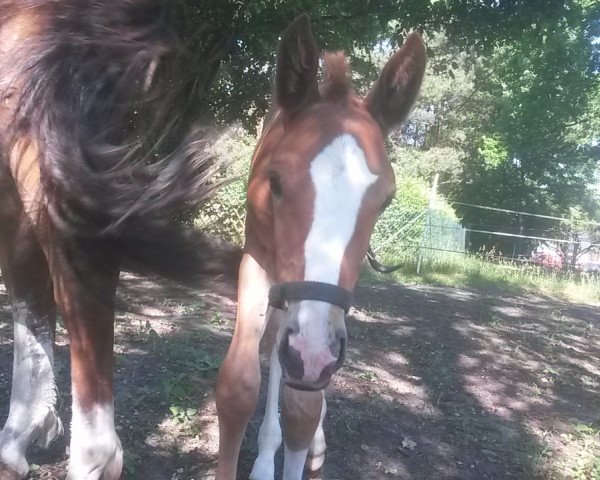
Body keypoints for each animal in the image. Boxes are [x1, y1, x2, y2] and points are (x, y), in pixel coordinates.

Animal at [216, 13, 426, 480]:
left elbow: (303, 408)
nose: (312, 355)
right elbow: (239, 386)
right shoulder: (257, 260)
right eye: (275, 181)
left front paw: (303, 440)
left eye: (386, 200)